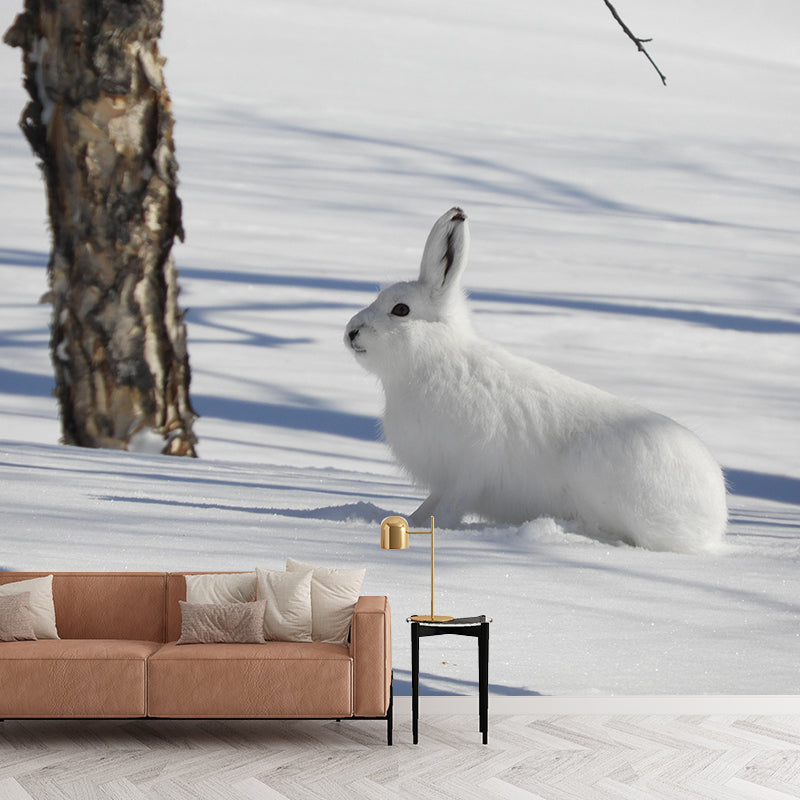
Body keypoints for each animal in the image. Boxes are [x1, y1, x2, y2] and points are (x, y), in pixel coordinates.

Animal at [345, 207, 727, 553]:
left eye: (401, 310)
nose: (351, 332)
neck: (431, 360)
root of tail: (714, 518)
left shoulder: (469, 469)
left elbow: (451, 507)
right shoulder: (443, 478)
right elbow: (429, 505)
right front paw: (410, 521)